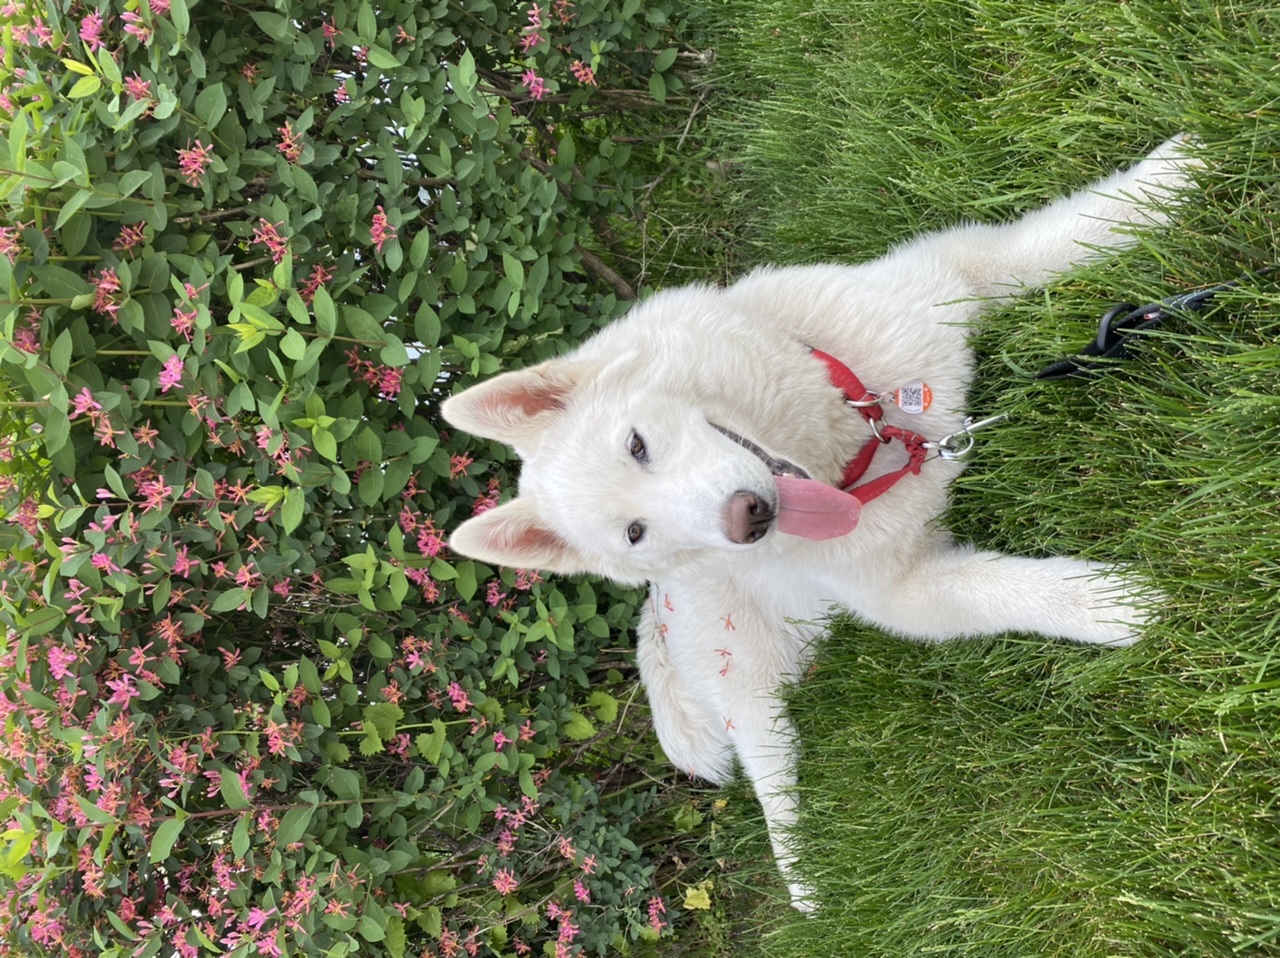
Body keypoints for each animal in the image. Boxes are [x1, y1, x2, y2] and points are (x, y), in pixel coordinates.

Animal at [441, 137, 1195, 911]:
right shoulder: (905, 591)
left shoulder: (952, 276)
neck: (864, 443)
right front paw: (1113, 607)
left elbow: (1066, 233)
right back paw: (810, 880)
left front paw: (1173, 180)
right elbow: (1002, 592)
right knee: (774, 792)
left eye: (637, 445)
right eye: (635, 534)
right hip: (749, 701)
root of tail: (658, 616)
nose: (748, 520)